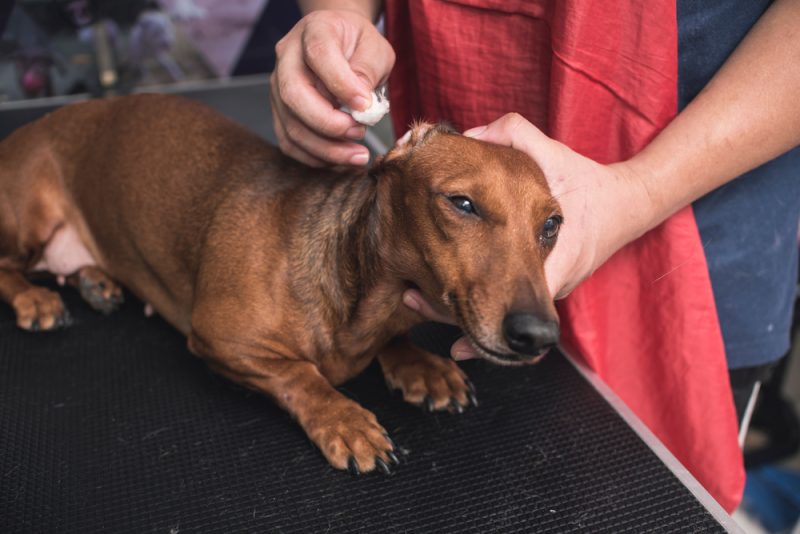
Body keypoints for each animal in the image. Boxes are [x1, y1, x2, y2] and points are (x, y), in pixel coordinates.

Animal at [0, 94, 564, 476]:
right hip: (25, 219)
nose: (538, 335)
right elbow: (300, 375)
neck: (365, 305)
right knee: (7, 267)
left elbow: (393, 343)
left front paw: (421, 367)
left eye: (552, 225)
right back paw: (35, 298)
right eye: (462, 203)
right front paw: (344, 420)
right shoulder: (220, 338)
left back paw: (96, 282)